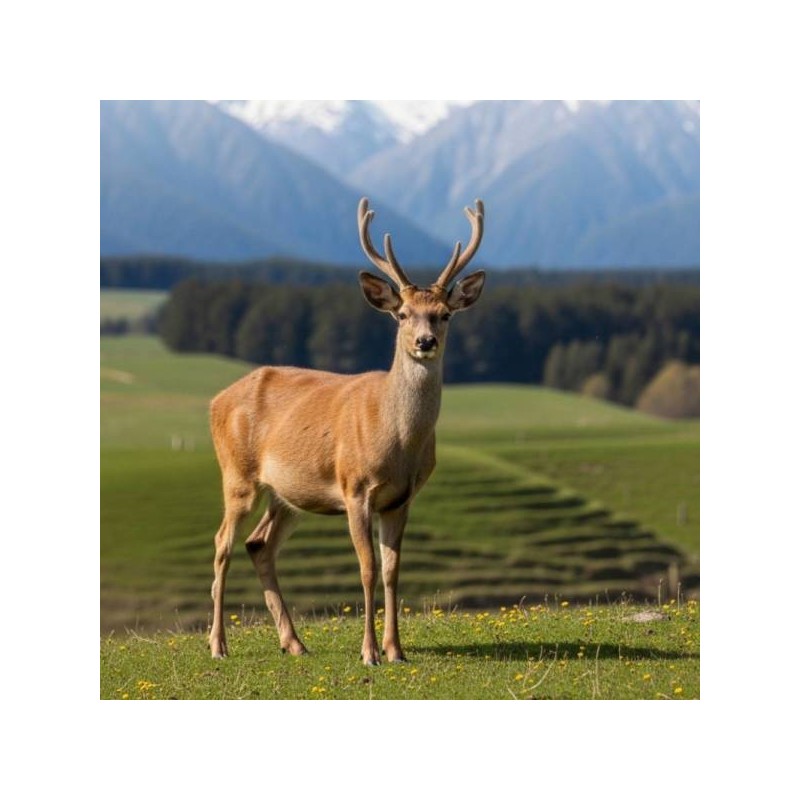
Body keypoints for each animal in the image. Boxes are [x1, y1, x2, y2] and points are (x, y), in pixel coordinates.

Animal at [208, 197, 486, 665]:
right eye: (402, 314)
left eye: (444, 314)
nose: (425, 341)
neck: (397, 440)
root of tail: (215, 401)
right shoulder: (355, 486)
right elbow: (368, 567)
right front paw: (369, 651)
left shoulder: (402, 497)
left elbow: (392, 570)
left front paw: (396, 650)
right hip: (238, 475)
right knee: (222, 543)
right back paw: (217, 644)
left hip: (288, 494)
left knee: (259, 545)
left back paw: (294, 642)